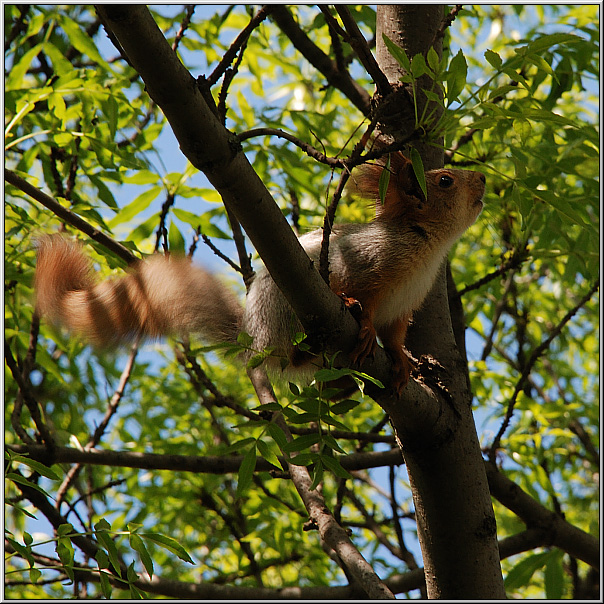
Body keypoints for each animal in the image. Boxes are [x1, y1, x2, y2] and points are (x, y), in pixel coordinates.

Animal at [34, 152, 486, 392]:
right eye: (445, 181)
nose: (482, 179)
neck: (428, 247)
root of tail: (254, 339)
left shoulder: (406, 304)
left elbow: (393, 335)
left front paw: (403, 361)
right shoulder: (364, 262)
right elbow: (359, 294)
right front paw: (362, 321)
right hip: (284, 315)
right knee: (295, 352)